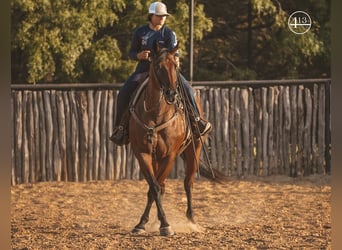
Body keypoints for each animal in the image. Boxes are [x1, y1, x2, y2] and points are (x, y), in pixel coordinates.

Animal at [128, 41, 206, 236]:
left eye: (175, 66)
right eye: (158, 66)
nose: (172, 94)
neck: (156, 113)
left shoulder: (170, 155)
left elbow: (157, 187)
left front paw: (164, 225)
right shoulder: (142, 154)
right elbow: (154, 187)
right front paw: (144, 223)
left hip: (194, 150)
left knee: (188, 183)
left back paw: (191, 219)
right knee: (160, 186)